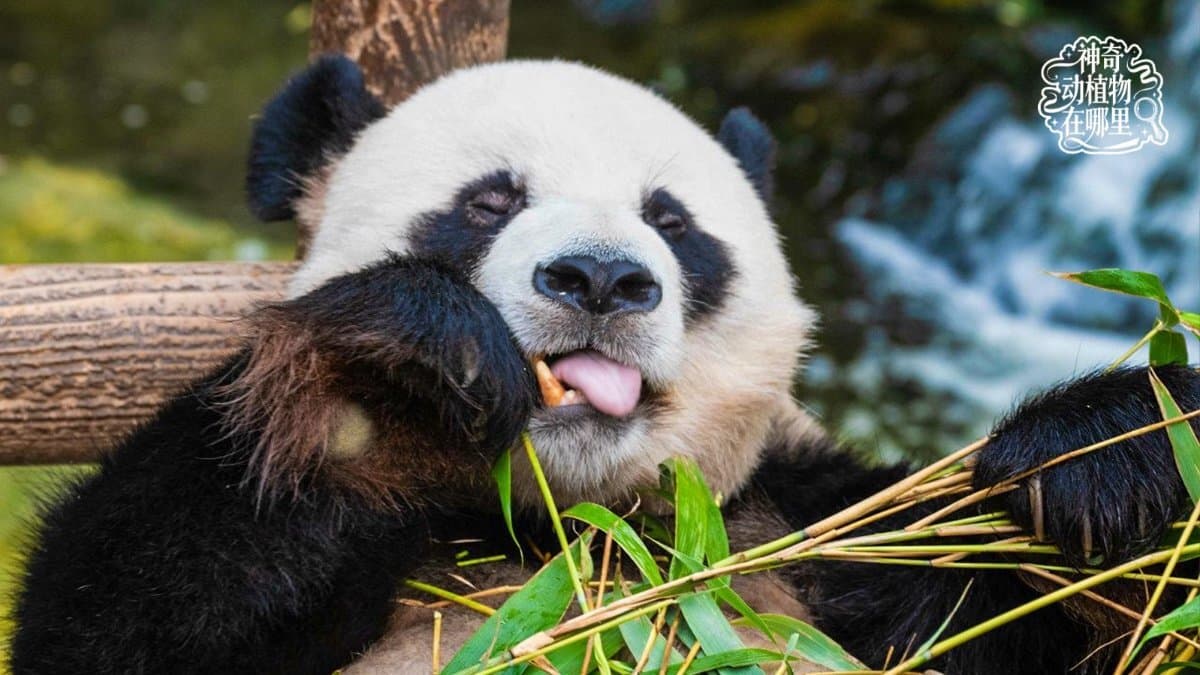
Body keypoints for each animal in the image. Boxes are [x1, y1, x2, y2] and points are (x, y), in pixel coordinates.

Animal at [9, 55, 1200, 675]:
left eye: (671, 223)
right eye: (491, 200)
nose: (599, 278)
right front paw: (397, 383)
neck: (568, 528)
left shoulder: (812, 528)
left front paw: (1116, 449)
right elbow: (122, 611)